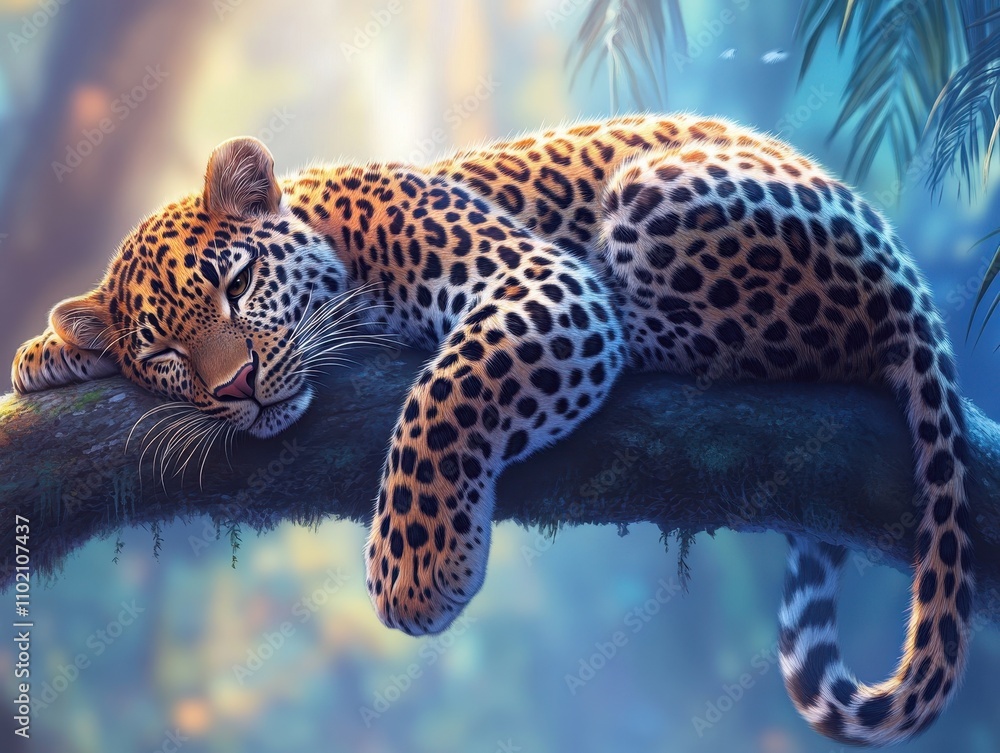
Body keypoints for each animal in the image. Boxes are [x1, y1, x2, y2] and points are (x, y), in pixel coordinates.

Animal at [11, 113, 973, 745]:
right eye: (166, 352)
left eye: (237, 281)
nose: (236, 386)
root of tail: (904, 267)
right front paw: (48, 349)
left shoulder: (538, 280)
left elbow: (451, 386)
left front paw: (416, 567)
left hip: (666, 198)